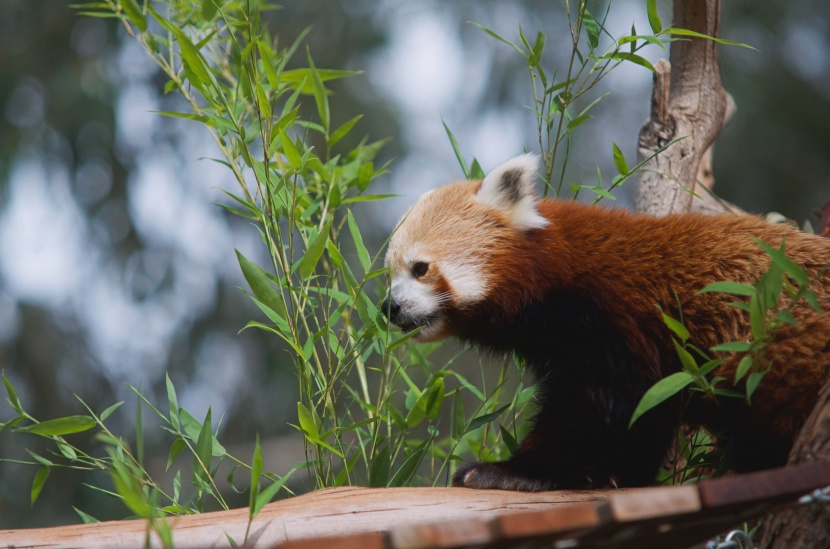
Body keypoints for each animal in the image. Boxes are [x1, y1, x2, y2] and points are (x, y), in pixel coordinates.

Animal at [384, 153, 830, 488]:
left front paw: (510, 471)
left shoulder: (610, 322)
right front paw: (619, 475)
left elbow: (592, 409)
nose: (391, 308)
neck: (555, 274)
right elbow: (645, 415)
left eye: (420, 268)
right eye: (390, 272)